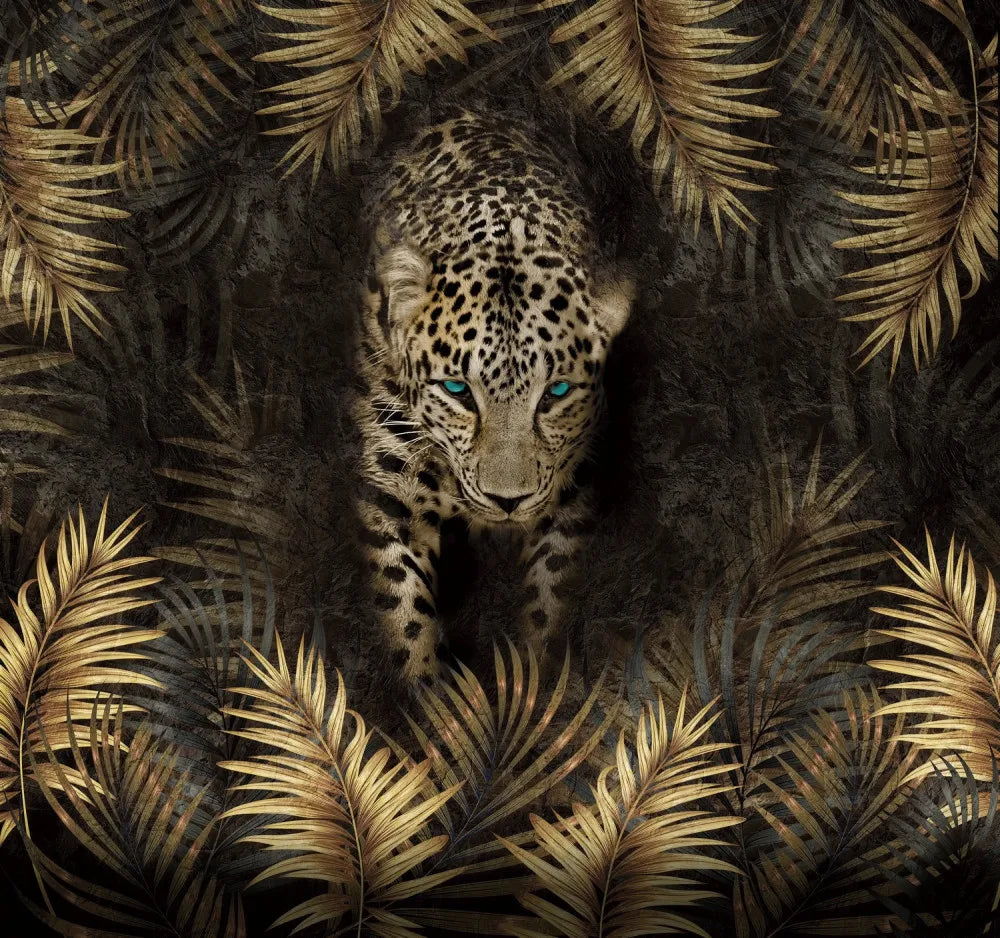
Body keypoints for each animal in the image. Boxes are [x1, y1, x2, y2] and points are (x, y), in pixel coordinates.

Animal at [355, 108, 634, 686]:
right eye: (458, 390)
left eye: (556, 393)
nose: (508, 501)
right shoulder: (392, 486)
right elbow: (404, 616)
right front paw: (427, 698)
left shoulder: (570, 493)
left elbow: (549, 603)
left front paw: (535, 680)